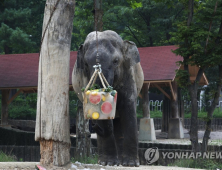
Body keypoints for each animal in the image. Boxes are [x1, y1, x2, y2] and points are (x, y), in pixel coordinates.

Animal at [71, 29, 144, 167]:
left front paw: (131, 164)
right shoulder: (84, 76)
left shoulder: (128, 74)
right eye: (86, 64)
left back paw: (121, 162)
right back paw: (109, 162)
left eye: (115, 61)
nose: (94, 126)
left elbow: (128, 108)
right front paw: (108, 163)